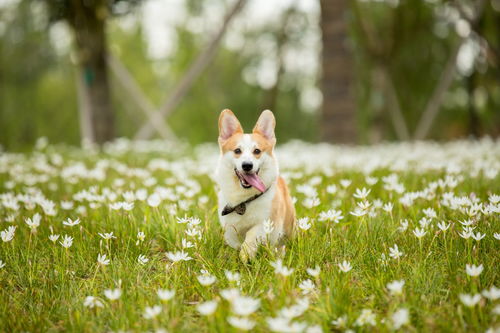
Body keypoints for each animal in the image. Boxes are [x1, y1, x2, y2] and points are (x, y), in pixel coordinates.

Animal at [214, 109, 292, 262]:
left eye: (257, 151)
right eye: (237, 151)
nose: (247, 165)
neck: (244, 200)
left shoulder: (267, 222)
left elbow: (252, 235)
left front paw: (246, 254)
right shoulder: (229, 225)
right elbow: (233, 239)